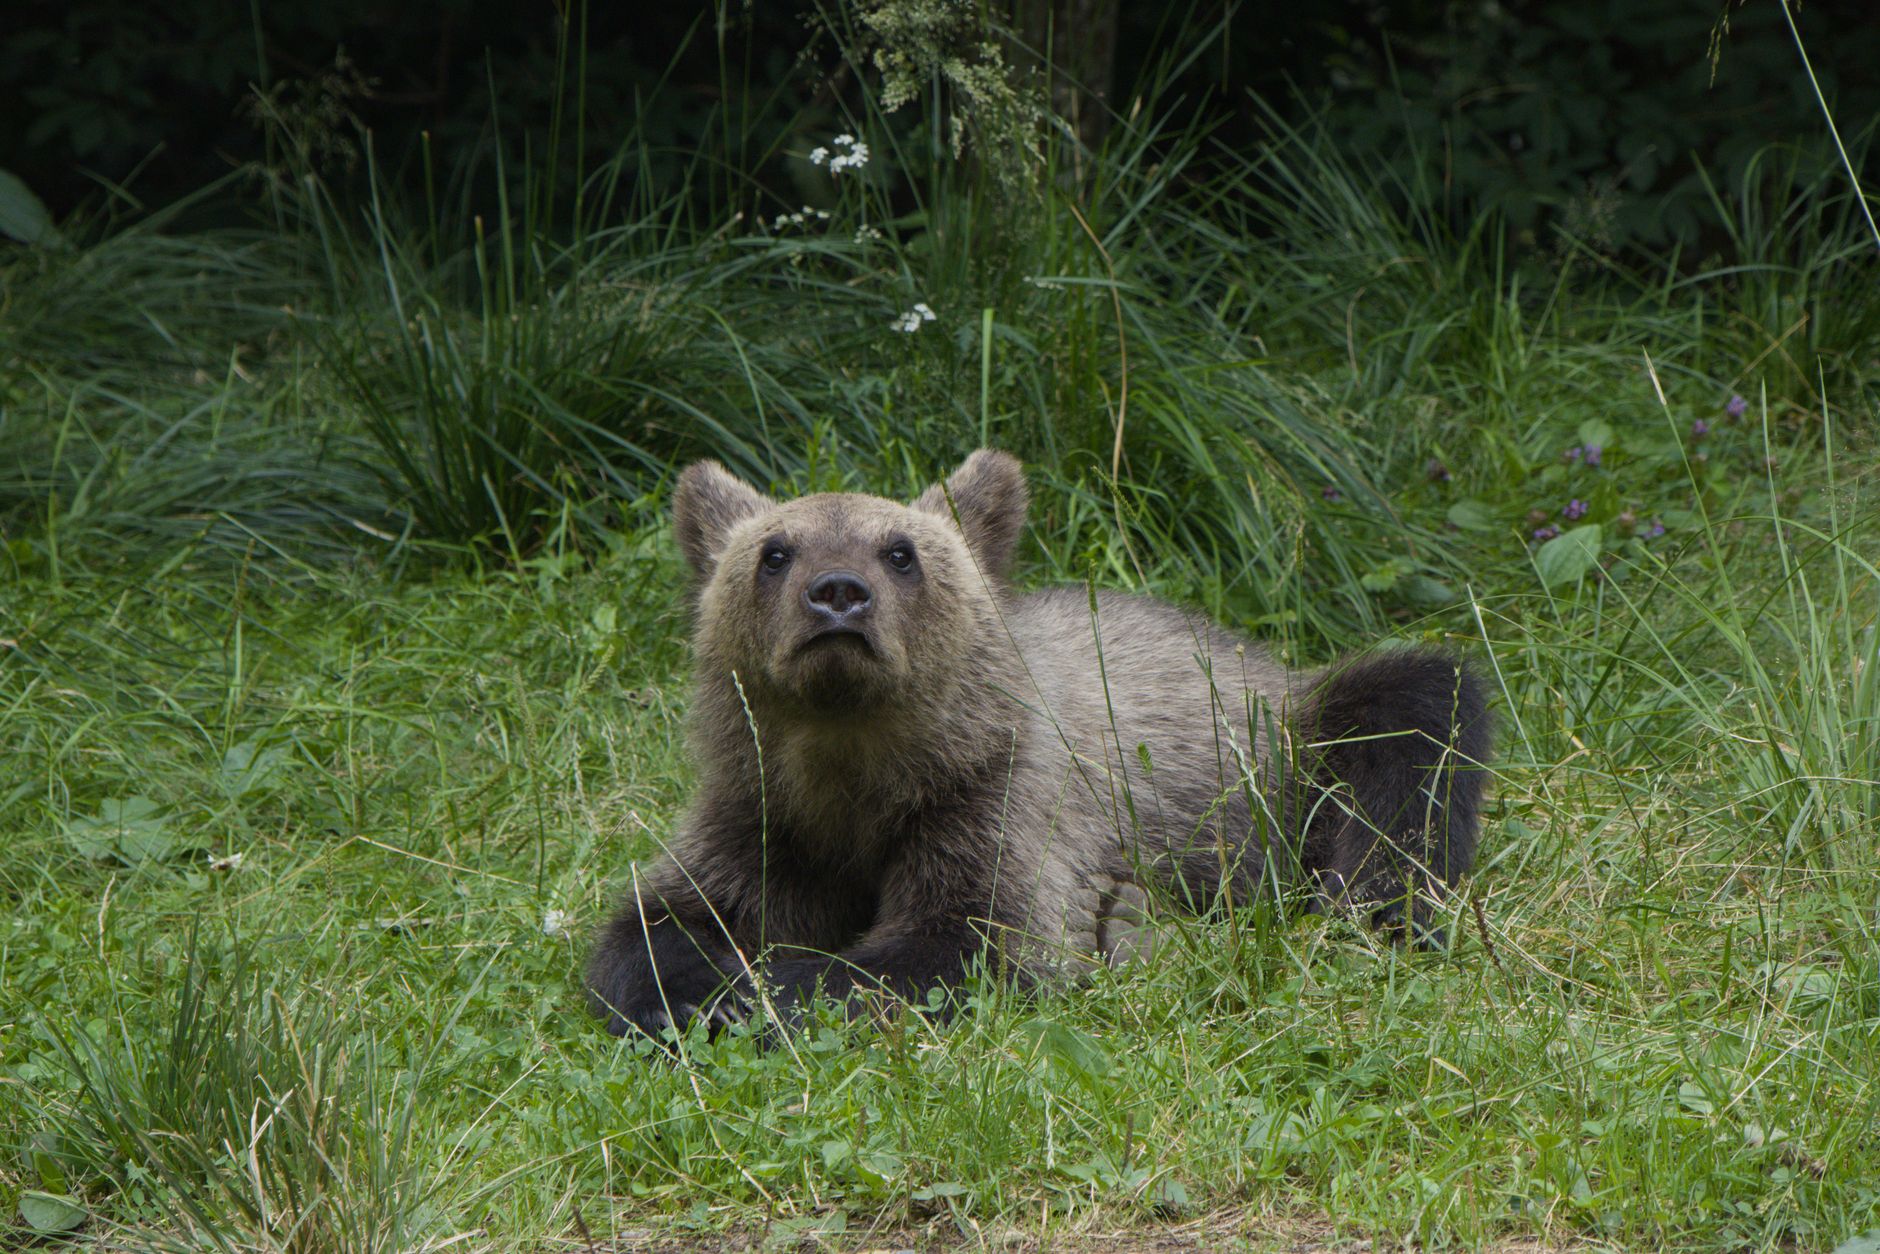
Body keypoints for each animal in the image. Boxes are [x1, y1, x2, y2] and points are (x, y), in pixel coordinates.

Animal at [586, 449, 1492, 1039]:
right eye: (774, 551)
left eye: (900, 551)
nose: (837, 595)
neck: (860, 775)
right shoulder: (767, 816)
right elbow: (666, 919)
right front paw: (695, 989)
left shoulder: (997, 801)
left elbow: (968, 940)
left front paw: (766, 991)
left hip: (1286, 751)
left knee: (1410, 735)